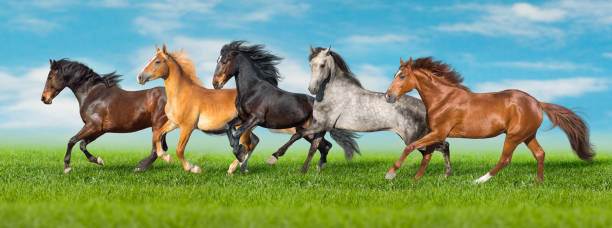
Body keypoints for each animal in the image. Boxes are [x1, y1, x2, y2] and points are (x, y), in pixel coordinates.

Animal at [41, 58, 170, 173]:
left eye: (50, 77)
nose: (44, 98)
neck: (93, 95)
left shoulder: (93, 125)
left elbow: (72, 141)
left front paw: (67, 167)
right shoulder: (100, 130)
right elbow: (82, 144)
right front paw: (98, 160)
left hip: (157, 125)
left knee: (156, 150)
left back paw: (139, 167)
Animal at [137, 44, 260, 173]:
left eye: (158, 61)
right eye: (150, 59)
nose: (140, 77)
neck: (181, 94)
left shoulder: (187, 127)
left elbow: (179, 150)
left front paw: (193, 168)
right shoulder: (173, 123)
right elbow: (157, 136)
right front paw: (168, 158)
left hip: (242, 128)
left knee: (247, 146)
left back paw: (233, 168)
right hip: (246, 128)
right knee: (254, 142)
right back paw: (239, 168)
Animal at [213, 41, 360, 171]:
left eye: (225, 61)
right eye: (217, 60)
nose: (215, 83)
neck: (252, 90)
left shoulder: (256, 118)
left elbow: (237, 133)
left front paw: (239, 154)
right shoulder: (242, 118)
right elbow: (228, 126)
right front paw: (238, 152)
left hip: (312, 129)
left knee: (319, 144)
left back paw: (278, 158)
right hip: (306, 130)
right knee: (325, 145)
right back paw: (319, 167)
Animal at [272, 46, 450, 178]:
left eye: (322, 65)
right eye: (310, 65)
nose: (312, 89)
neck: (333, 93)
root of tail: (424, 106)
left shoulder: (321, 124)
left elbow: (297, 134)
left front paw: (274, 157)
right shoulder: (321, 126)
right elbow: (313, 147)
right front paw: (304, 170)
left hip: (414, 138)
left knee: (442, 146)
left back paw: (444, 173)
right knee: (440, 147)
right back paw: (443, 174)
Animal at [388, 57, 592, 183]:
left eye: (402, 76)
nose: (389, 96)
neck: (443, 99)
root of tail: (538, 103)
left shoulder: (439, 132)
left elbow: (411, 147)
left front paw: (391, 174)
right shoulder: (435, 133)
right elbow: (427, 156)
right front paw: (416, 179)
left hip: (513, 136)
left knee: (505, 159)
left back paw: (478, 181)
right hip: (527, 136)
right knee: (540, 154)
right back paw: (538, 182)